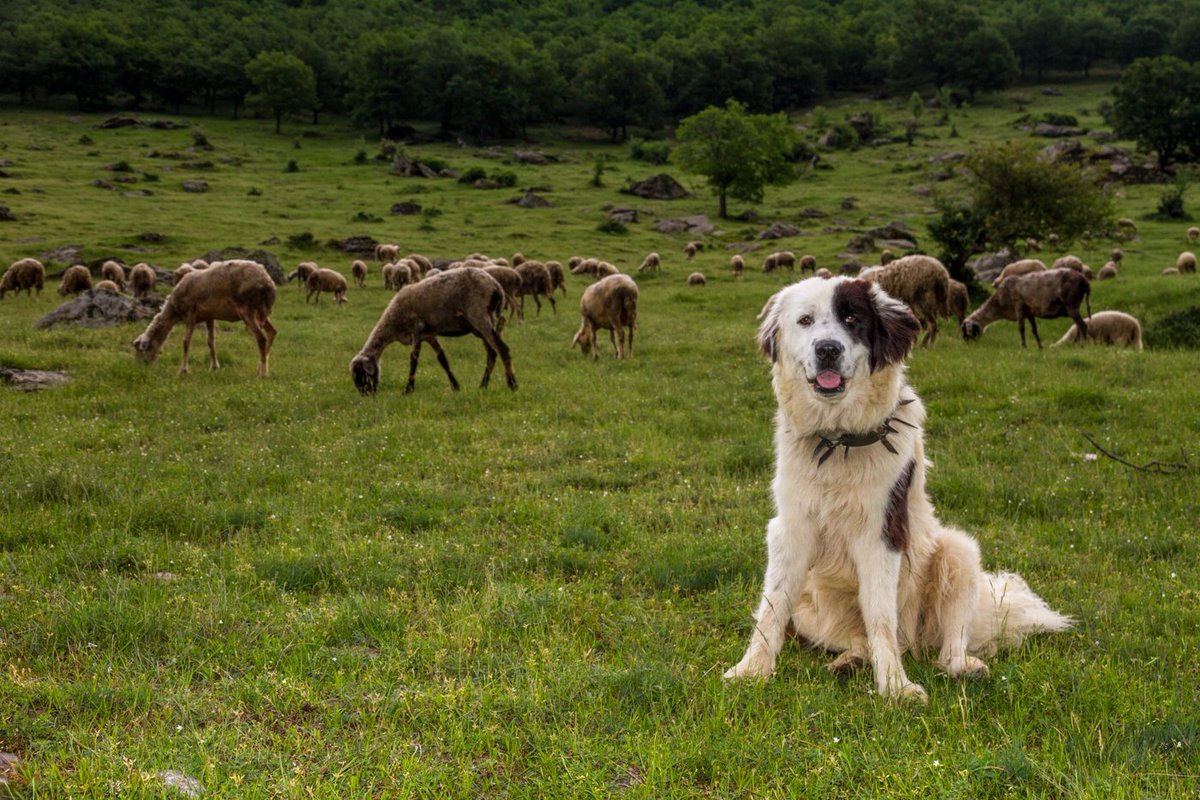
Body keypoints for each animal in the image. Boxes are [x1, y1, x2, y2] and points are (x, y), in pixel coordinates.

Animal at [131, 260, 276, 379]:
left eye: (141, 350)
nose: (139, 369)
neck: (173, 310)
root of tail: (267, 282)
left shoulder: (190, 314)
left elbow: (186, 342)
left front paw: (183, 370)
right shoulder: (209, 317)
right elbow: (211, 342)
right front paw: (214, 367)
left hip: (248, 309)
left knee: (261, 339)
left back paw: (262, 374)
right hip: (261, 311)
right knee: (272, 332)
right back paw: (261, 369)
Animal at [348, 267, 516, 395]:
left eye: (361, 374)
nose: (366, 395)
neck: (392, 323)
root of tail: (496, 286)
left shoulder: (416, 329)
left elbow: (413, 360)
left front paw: (408, 389)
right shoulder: (429, 335)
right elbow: (442, 359)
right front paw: (455, 386)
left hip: (479, 316)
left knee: (502, 348)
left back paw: (512, 384)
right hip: (480, 324)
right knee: (492, 353)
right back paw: (483, 385)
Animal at [724, 278, 1075, 705]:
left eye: (852, 319)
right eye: (805, 320)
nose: (828, 349)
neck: (839, 442)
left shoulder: (883, 533)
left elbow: (880, 614)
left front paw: (894, 686)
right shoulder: (790, 528)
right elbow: (772, 605)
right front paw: (751, 670)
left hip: (958, 552)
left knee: (946, 645)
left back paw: (962, 666)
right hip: (810, 602)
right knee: (850, 635)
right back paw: (850, 661)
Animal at [960, 267, 1094, 347]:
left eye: (966, 332)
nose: (967, 346)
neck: (999, 303)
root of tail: (1084, 280)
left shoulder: (1019, 307)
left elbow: (1021, 328)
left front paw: (1024, 347)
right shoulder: (1030, 312)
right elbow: (1034, 330)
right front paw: (1040, 347)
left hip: (1071, 304)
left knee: (1083, 325)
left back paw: (1083, 346)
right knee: (1080, 325)